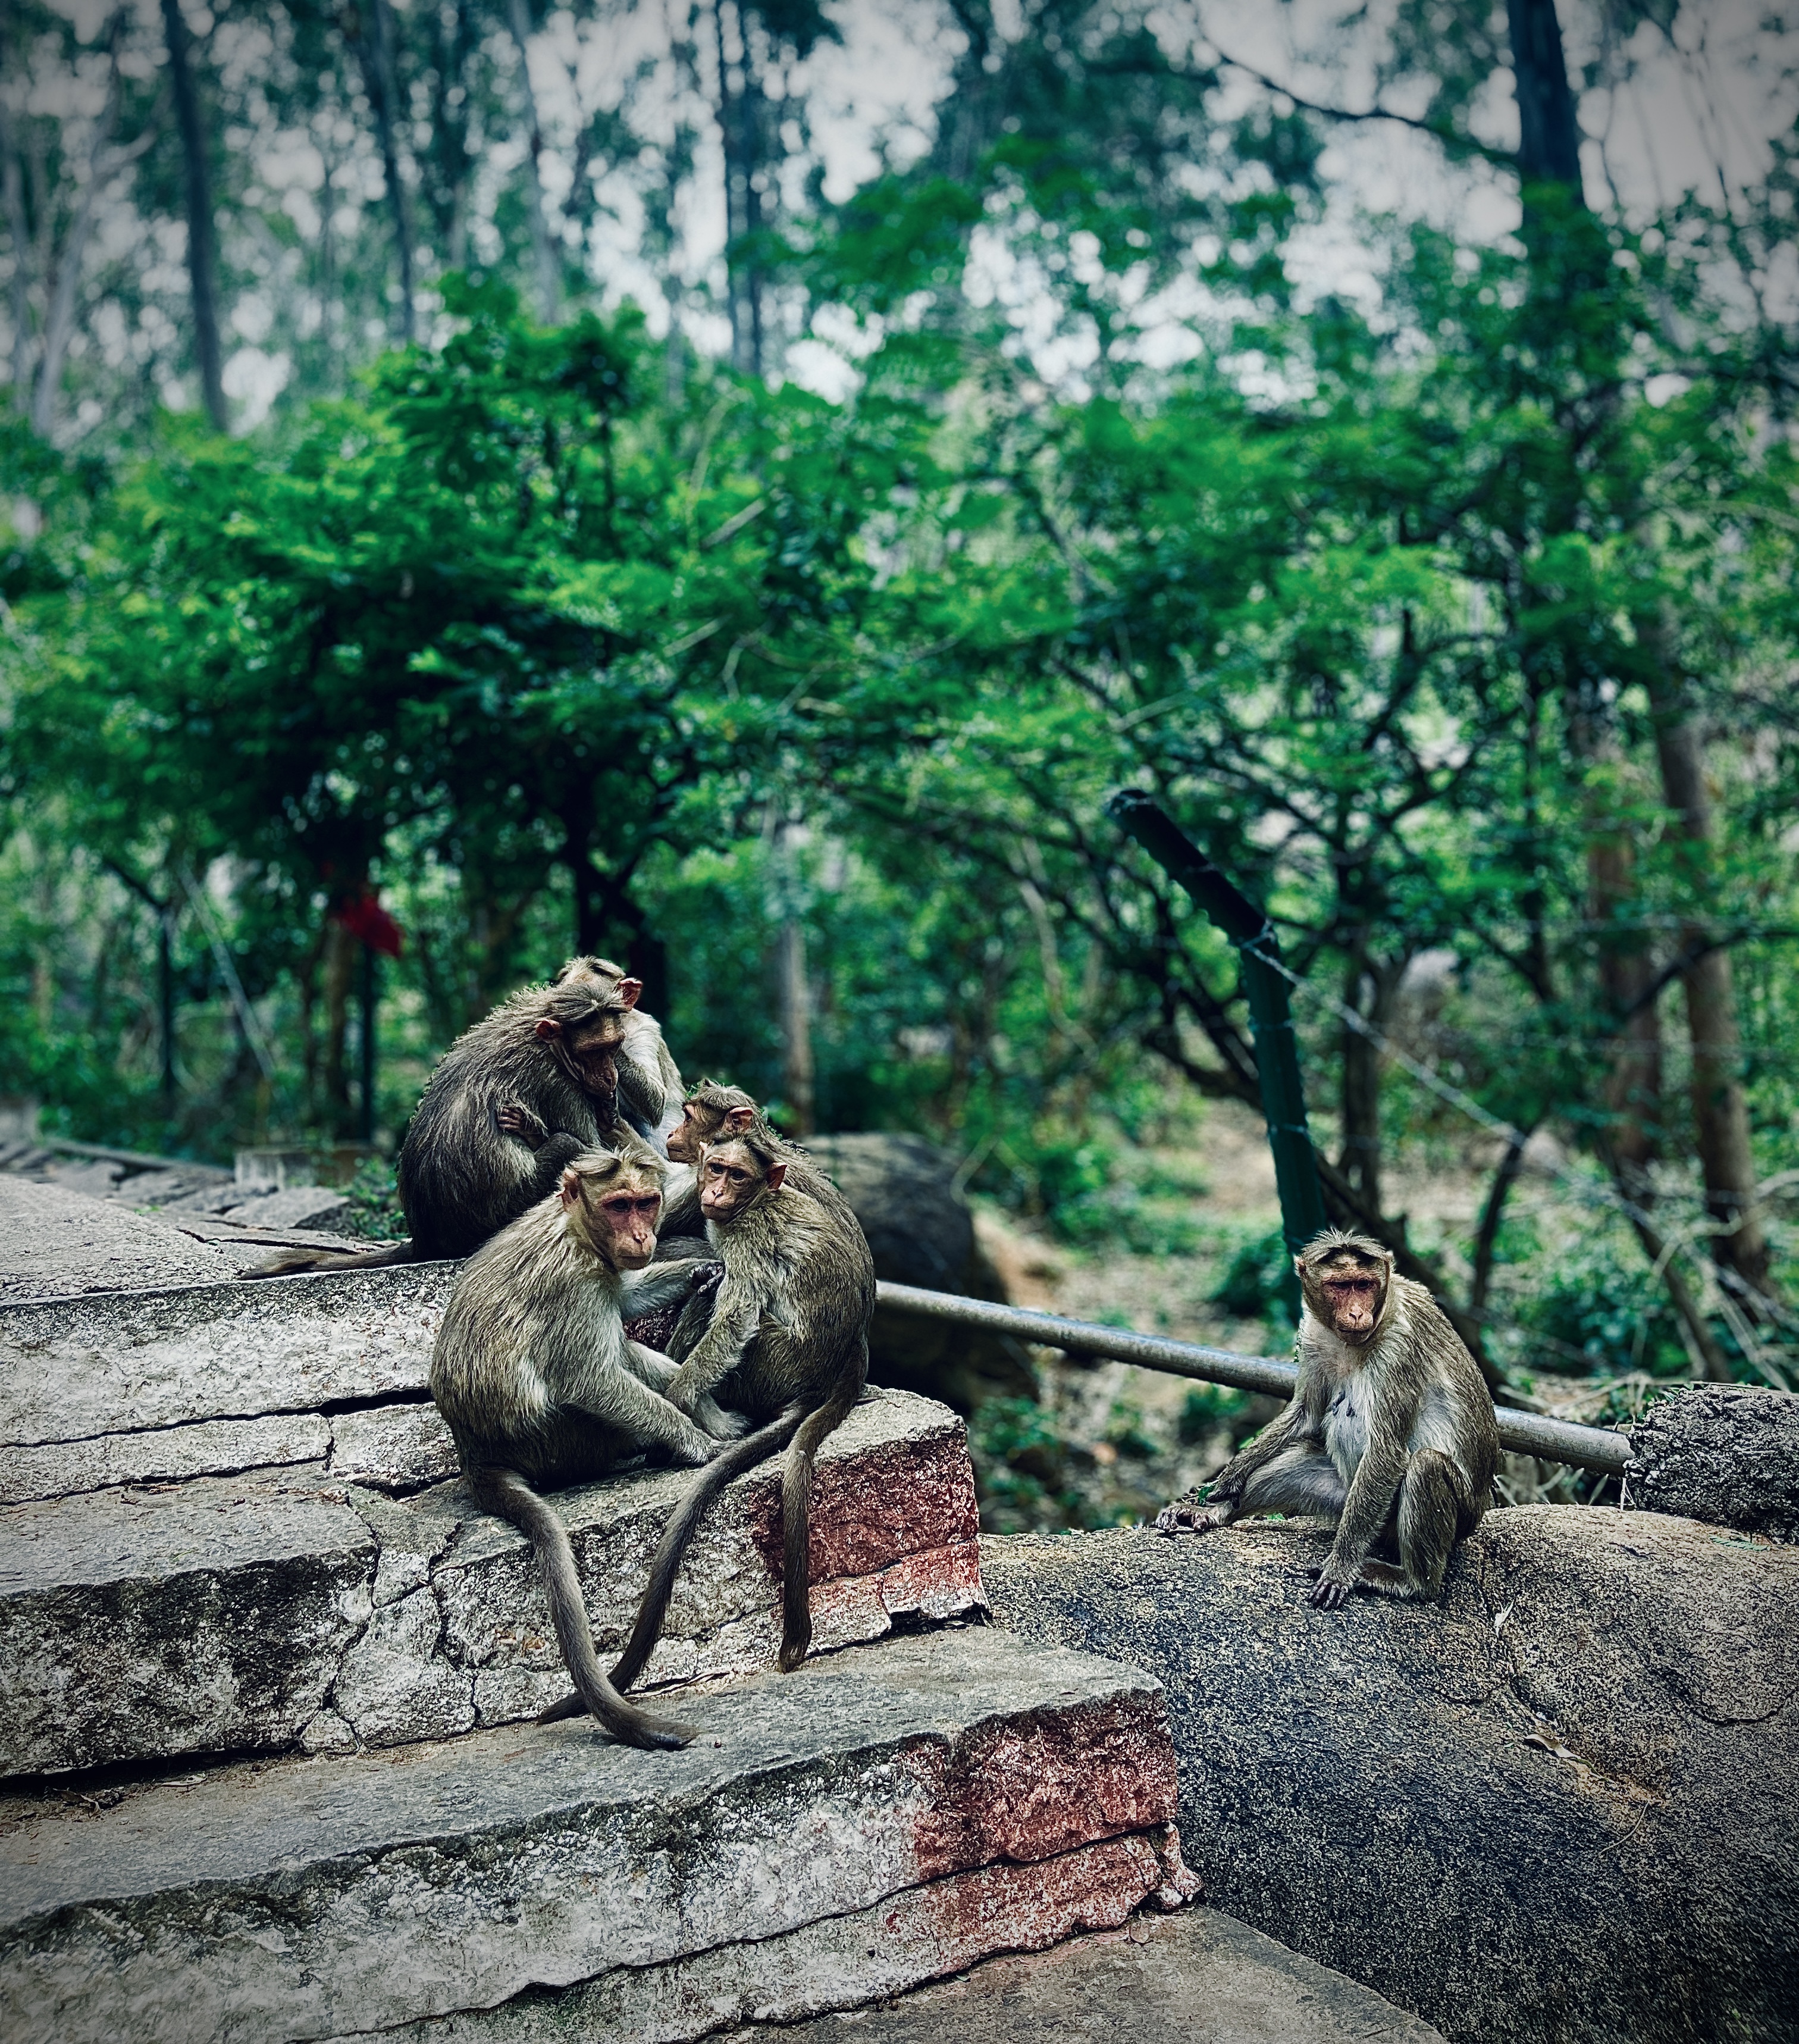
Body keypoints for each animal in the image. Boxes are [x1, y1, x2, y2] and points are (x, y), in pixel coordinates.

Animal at [250, 957, 689, 1277]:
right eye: (595, 1051)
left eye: (613, 1046)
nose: (610, 1076)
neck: (548, 1040)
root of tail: (427, 1241)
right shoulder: (560, 1083)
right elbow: (597, 1162)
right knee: (567, 1147)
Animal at [428, 1147, 740, 1750]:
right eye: (618, 1205)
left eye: (645, 1202)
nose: (642, 1234)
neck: (578, 1231)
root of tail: (476, 1453)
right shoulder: (574, 1283)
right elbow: (589, 1378)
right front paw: (692, 1440)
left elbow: (628, 1293)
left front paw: (702, 1272)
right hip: (561, 1440)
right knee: (609, 1362)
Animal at [539, 1123, 875, 1721]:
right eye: (715, 1168)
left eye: (735, 1174)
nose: (713, 1192)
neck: (754, 1201)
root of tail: (829, 1375)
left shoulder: (746, 1235)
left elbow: (737, 1309)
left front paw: (677, 1401)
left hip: (771, 1364)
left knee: (727, 1304)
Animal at [1156, 1228, 1499, 1608]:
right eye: (1340, 1285)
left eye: (1364, 1285)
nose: (1356, 1314)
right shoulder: (1313, 1336)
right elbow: (1305, 1415)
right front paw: (1225, 1483)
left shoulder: (1402, 1344)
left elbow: (1387, 1452)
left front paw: (1340, 1568)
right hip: (1346, 1498)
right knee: (1295, 1467)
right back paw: (1216, 1514)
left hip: (1453, 1518)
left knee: (1427, 1466)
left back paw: (1411, 1582)